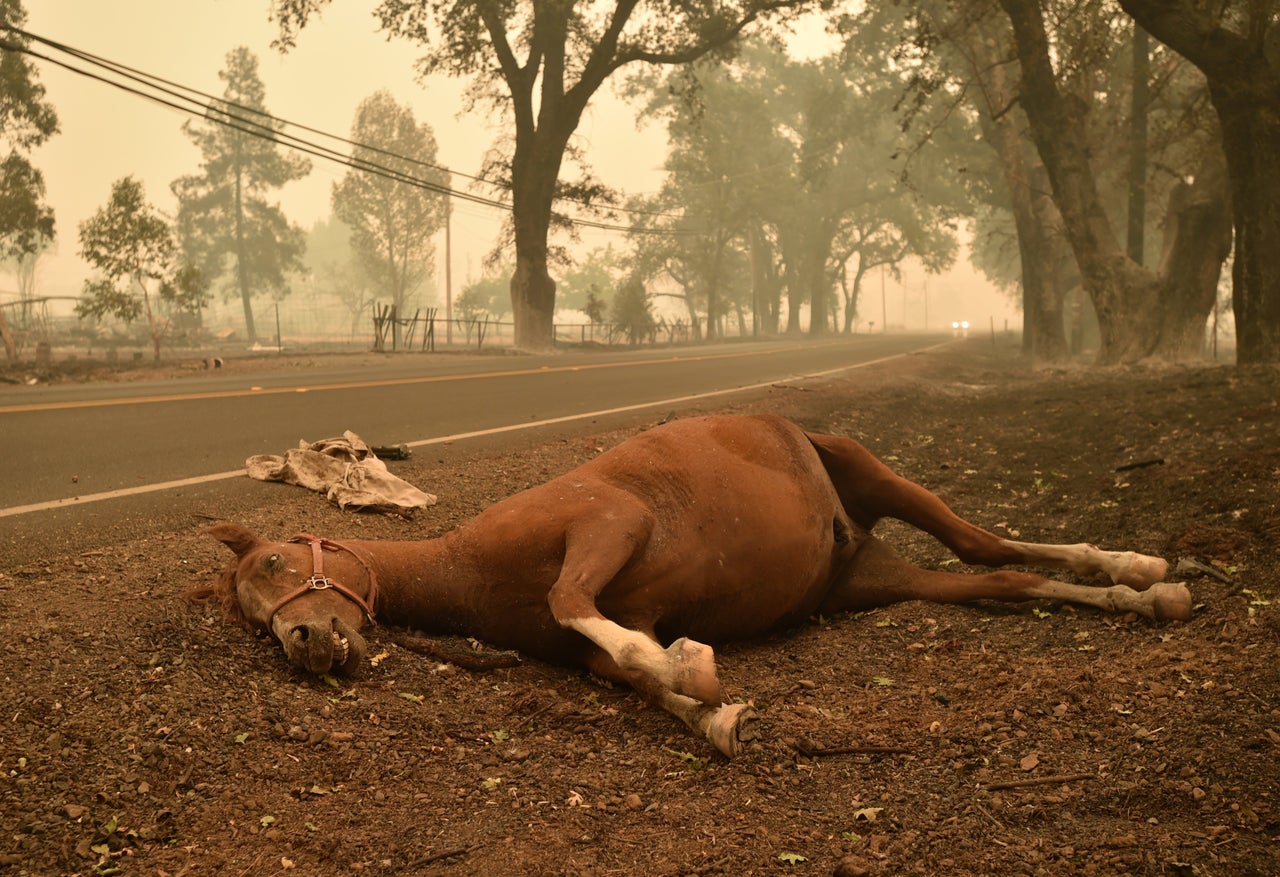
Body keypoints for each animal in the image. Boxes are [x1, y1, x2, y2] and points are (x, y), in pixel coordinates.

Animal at [197, 414, 1187, 757]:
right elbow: (632, 673)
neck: (470, 566)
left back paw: (1139, 569)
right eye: (250, 615)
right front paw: (711, 708)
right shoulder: (598, 638)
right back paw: (1139, 593)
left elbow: (582, 607)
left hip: (875, 475)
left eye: (275, 563)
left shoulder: (608, 523)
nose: (303, 642)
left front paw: (694, 668)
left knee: (985, 540)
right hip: (871, 580)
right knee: (1003, 576)